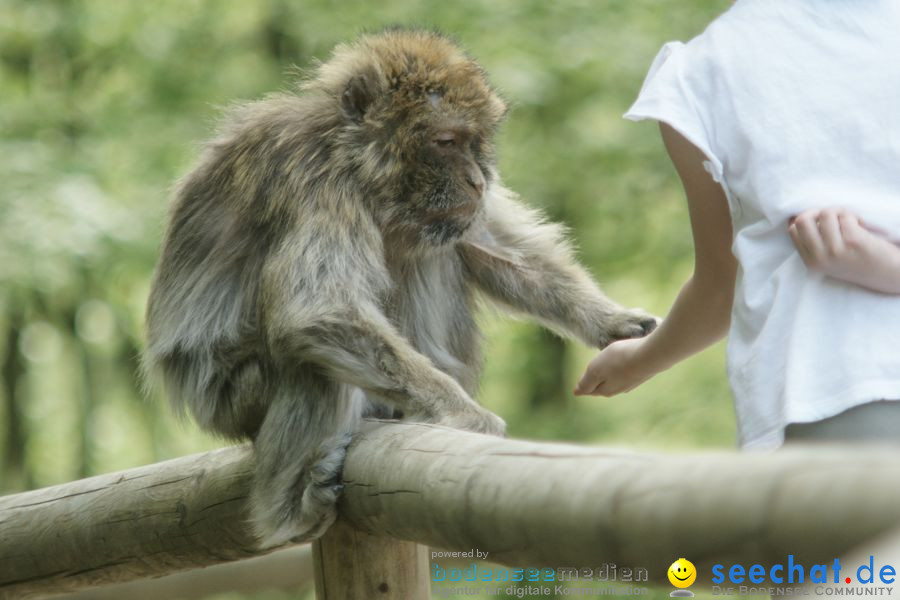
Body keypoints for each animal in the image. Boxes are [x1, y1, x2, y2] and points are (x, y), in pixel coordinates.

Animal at [144, 27, 656, 544]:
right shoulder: (317, 184)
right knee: (310, 366)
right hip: (230, 399)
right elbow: (318, 310)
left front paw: (613, 322)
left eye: (474, 142)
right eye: (446, 141)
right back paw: (288, 513)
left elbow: (495, 248)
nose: (476, 181)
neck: (355, 161)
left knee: (436, 250)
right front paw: (462, 413)